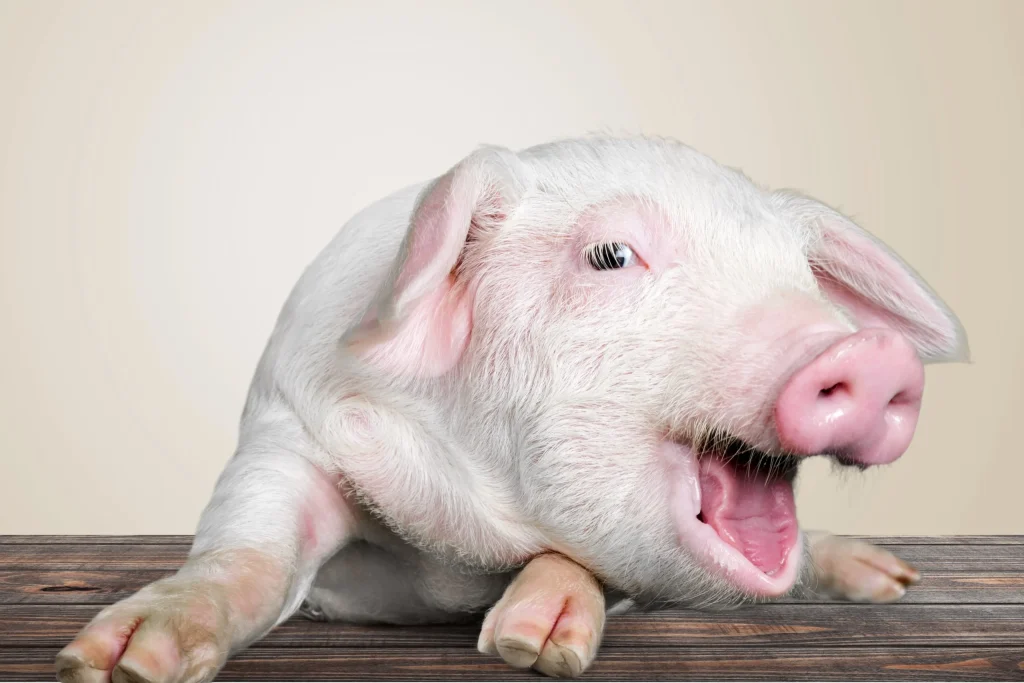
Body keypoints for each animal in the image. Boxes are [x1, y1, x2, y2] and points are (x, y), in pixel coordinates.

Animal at [55, 135, 967, 682]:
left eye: (799, 274)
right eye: (610, 255)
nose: (872, 353)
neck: (460, 541)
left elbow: (587, 560)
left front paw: (531, 646)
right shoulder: (287, 426)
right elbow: (247, 549)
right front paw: (117, 661)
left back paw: (891, 577)